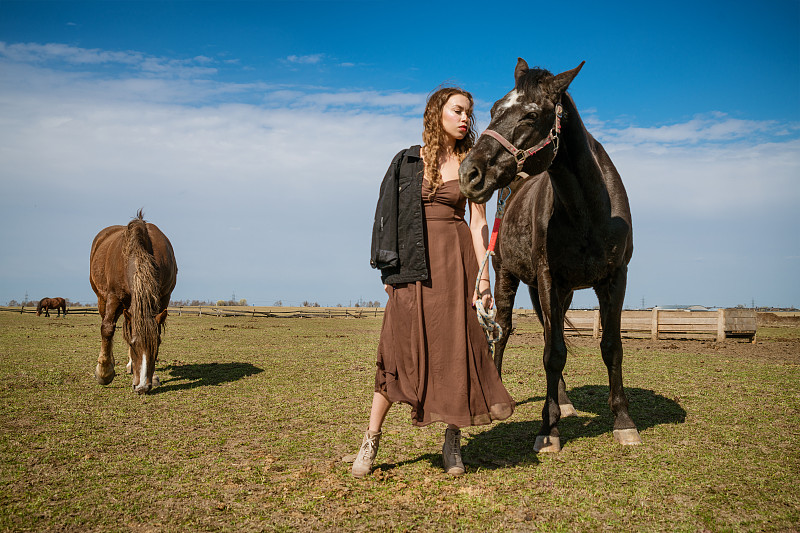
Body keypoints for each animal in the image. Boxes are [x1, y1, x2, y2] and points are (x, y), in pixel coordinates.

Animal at [90, 210, 178, 392]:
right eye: (132, 344)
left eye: (157, 345)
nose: (142, 387)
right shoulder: (113, 297)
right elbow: (107, 329)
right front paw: (104, 373)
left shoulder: (163, 297)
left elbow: (155, 331)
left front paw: (153, 376)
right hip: (102, 299)